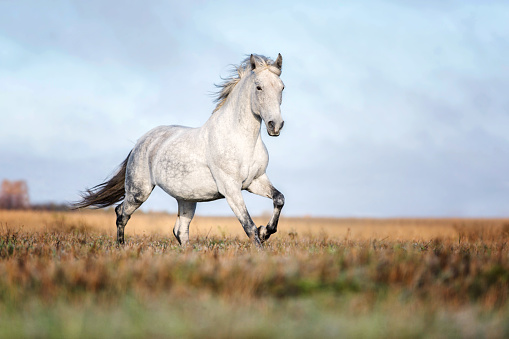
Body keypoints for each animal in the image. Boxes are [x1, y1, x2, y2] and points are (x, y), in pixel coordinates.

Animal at [74, 54, 286, 248]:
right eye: (258, 87)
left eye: (282, 87)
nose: (275, 125)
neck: (241, 141)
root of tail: (140, 142)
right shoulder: (231, 188)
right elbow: (248, 226)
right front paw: (260, 245)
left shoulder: (256, 181)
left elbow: (279, 199)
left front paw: (266, 231)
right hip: (139, 191)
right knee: (121, 213)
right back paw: (121, 247)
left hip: (186, 199)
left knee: (180, 231)